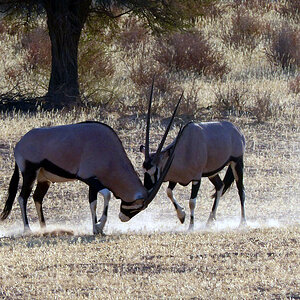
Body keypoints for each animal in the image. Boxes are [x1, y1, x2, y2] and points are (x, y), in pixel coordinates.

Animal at [0, 92, 180, 236]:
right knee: (22, 197)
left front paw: (96, 228)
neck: (109, 151)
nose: (122, 218)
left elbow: (92, 203)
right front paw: (99, 226)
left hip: (45, 178)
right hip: (30, 172)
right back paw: (27, 229)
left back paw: (45, 229)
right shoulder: (89, 178)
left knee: (37, 198)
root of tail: (19, 144)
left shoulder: (93, 182)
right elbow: (106, 194)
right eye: (138, 207)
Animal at [141, 86, 246, 230]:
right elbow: (169, 192)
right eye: (143, 171)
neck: (183, 149)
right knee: (220, 186)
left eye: (154, 171)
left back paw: (242, 222)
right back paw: (210, 220)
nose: (146, 191)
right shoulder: (174, 178)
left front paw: (191, 226)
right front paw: (181, 216)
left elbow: (192, 202)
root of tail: (237, 131)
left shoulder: (196, 179)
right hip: (211, 173)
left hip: (236, 163)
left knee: (241, 190)